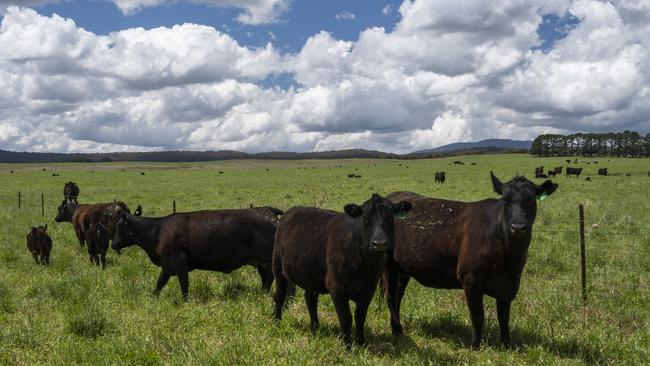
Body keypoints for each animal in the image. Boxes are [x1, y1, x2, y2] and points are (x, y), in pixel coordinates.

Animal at [110, 207, 282, 302]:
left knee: (269, 278)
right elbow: (160, 283)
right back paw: (261, 294)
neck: (158, 230)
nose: (113, 244)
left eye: (118, 227)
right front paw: (153, 297)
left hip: (266, 260)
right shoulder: (167, 266)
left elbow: (184, 284)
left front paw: (185, 301)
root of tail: (266, 210)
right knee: (266, 279)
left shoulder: (179, 261)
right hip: (261, 262)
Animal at [272, 194, 410, 346]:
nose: (379, 243)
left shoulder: (368, 289)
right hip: (278, 267)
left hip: (310, 272)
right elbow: (346, 318)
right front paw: (347, 345)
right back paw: (277, 321)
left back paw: (315, 327)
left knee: (310, 298)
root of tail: (290, 211)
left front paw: (361, 342)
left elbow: (360, 317)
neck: (363, 265)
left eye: (391, 218)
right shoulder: (336, 287)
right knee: (279, 294)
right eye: (365, 218)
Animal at [380, 172, 556, 348]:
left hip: (403, 267)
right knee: (390, 296)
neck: (508, 257)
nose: (518, 227)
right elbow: (477, 316)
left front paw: (506, 344)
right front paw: (475, 345)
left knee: (399, 295)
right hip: (388, 264)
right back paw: (396, 330)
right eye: (505, 200)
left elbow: (504, 317)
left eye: (531, 200)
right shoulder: (471, 279)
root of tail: (392, 195)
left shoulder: (510, 284)